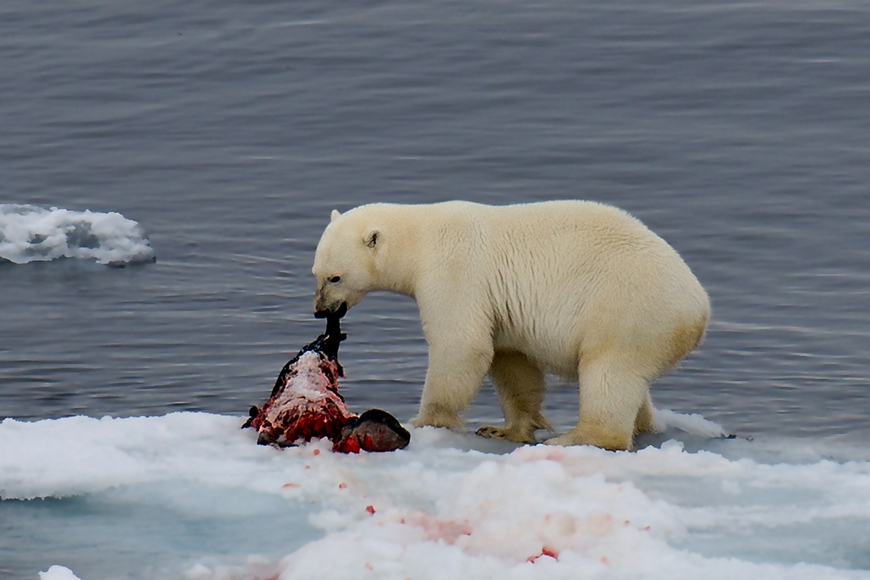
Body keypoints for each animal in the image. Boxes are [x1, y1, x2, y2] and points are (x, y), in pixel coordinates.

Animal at [310, 202, 712, 450]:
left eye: (335, 277)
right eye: (315, 273)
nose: (319, 311)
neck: (419, 238)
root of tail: (699, 308)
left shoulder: (454, 270)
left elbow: (462, 344)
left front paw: (425, 420)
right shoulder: (500, 305)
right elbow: (512, 361)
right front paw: (504, 429)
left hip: (626, 309)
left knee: (609, 373)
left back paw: (576, 437)